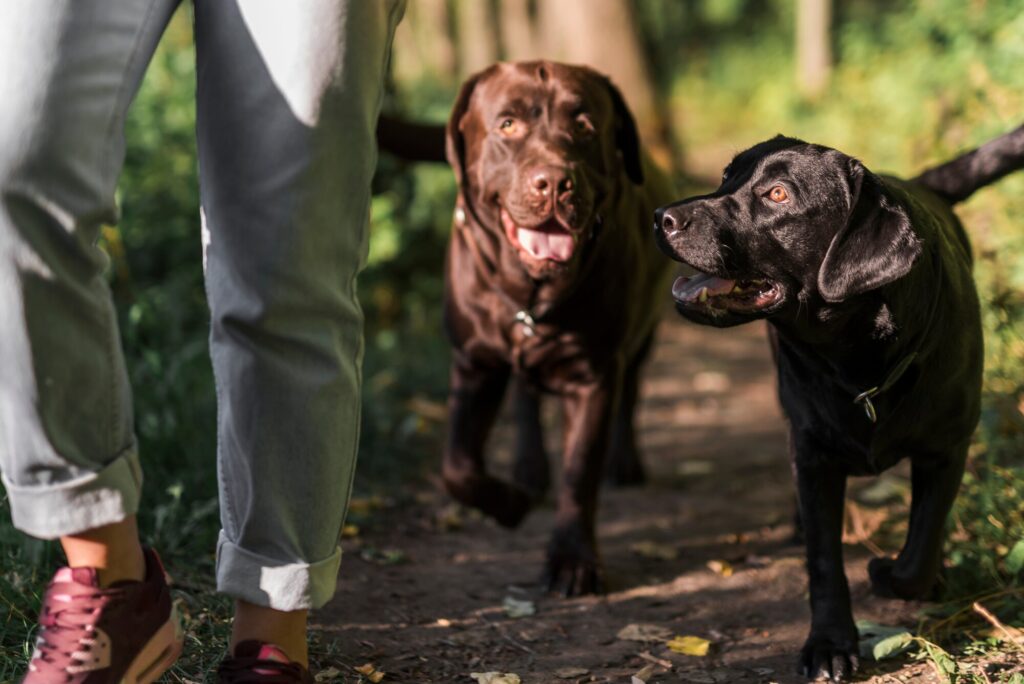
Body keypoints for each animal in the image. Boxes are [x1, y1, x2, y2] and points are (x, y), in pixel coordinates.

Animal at [438, 61, 671, 593]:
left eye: (584, 124)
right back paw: (528, 469)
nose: (554, 183)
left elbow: (580, 472)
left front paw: (572, 560)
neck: (529, 294)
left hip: (642, 336)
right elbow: (456, 467)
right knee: (525, 398)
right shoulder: (473, 364)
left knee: (632, 392)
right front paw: (511, 504)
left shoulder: (595, 374)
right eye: (507, 125)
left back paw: (625, 461)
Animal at [651, 125, 1024, 679]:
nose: (662, 217)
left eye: (777, 195)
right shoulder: (813, 455)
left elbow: (920, 547)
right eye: (726, 176)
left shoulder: (946, 447)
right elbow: (825, 560)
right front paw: (829, 644)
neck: (856, 361)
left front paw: (894, 572)